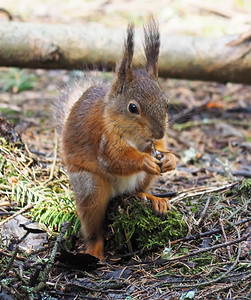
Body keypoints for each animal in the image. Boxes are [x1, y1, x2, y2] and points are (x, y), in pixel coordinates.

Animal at [56, 17, 176, 258]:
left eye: (166, 103)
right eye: (133, 108)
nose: (159, 132)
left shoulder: (152, 142)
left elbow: (160, 146)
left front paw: (170, 159)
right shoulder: (104, 139)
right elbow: (114, 159)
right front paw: (144, 159)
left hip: (143, 180)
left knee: (136, 192)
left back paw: (153, 199)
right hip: (91, 188)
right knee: (93, 227)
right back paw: (94, 251)